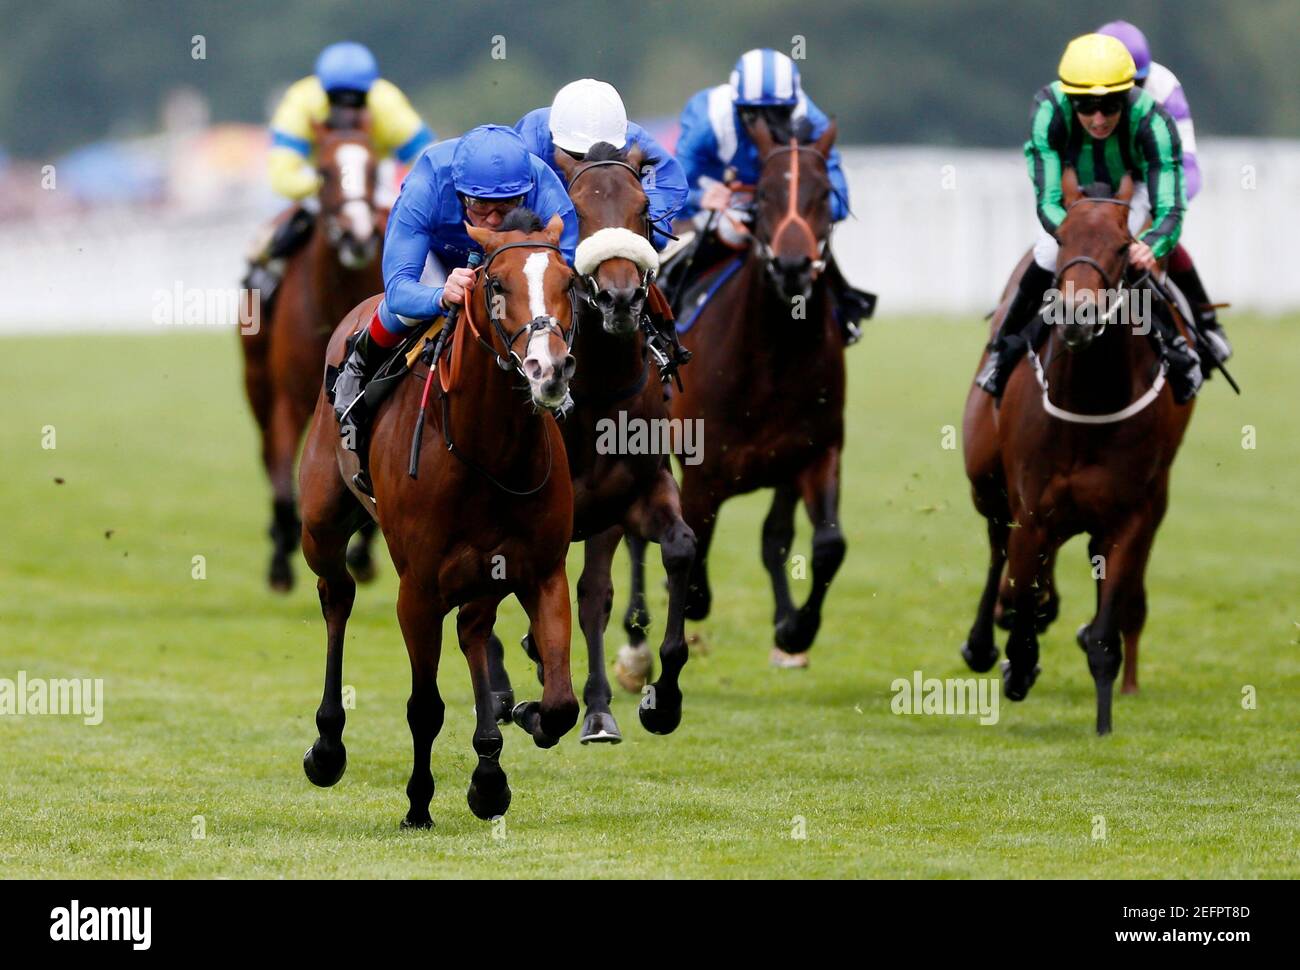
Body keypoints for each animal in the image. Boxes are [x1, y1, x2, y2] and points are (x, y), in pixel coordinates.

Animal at [239, 114, 384, 592]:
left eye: (374, 168)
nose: (358, 236)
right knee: (268, 454)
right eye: (322, 171)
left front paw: (362, 553)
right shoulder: (289, 398)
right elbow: (285, 487)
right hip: (256, 381)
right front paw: (281, 561)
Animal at [297, 211, 581, 826]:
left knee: (473, 630)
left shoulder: (541, 571)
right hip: (320, 527)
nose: (547, 370)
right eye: (495, 283)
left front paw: (520, 725)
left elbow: (562, 704)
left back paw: (490, 768)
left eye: (569, 283)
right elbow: (424, 706)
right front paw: (418, 805)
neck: (489, 449)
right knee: (337, 596)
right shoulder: (418, 589)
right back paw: (327, 747)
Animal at [481, 142, 696, 743]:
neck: (600, 390)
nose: (620, 297)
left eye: (644, 207)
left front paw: (654, 701)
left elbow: (666, 554)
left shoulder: (628, 497)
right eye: (577, 208)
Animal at [621, 119, 848, 670]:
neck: (774, 358)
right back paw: (635, 640)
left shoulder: (816, 451)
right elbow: (694, 569)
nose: (792, 266)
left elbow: (821, 544)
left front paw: (794, 629)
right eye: (763, 194)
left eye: (824, 194)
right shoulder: (705, 473)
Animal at [960, 171, 1195, 735]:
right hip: (985, 477)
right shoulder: (1031, 507)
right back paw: (985, 640)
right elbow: (1020, 587)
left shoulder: (1131, 515)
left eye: (1122, 246)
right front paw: (1018, 661)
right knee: (997, 547)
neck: (1090, 396)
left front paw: (1104, 715)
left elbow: (1106, 626)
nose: (1076, 317)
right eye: (1062, 238)